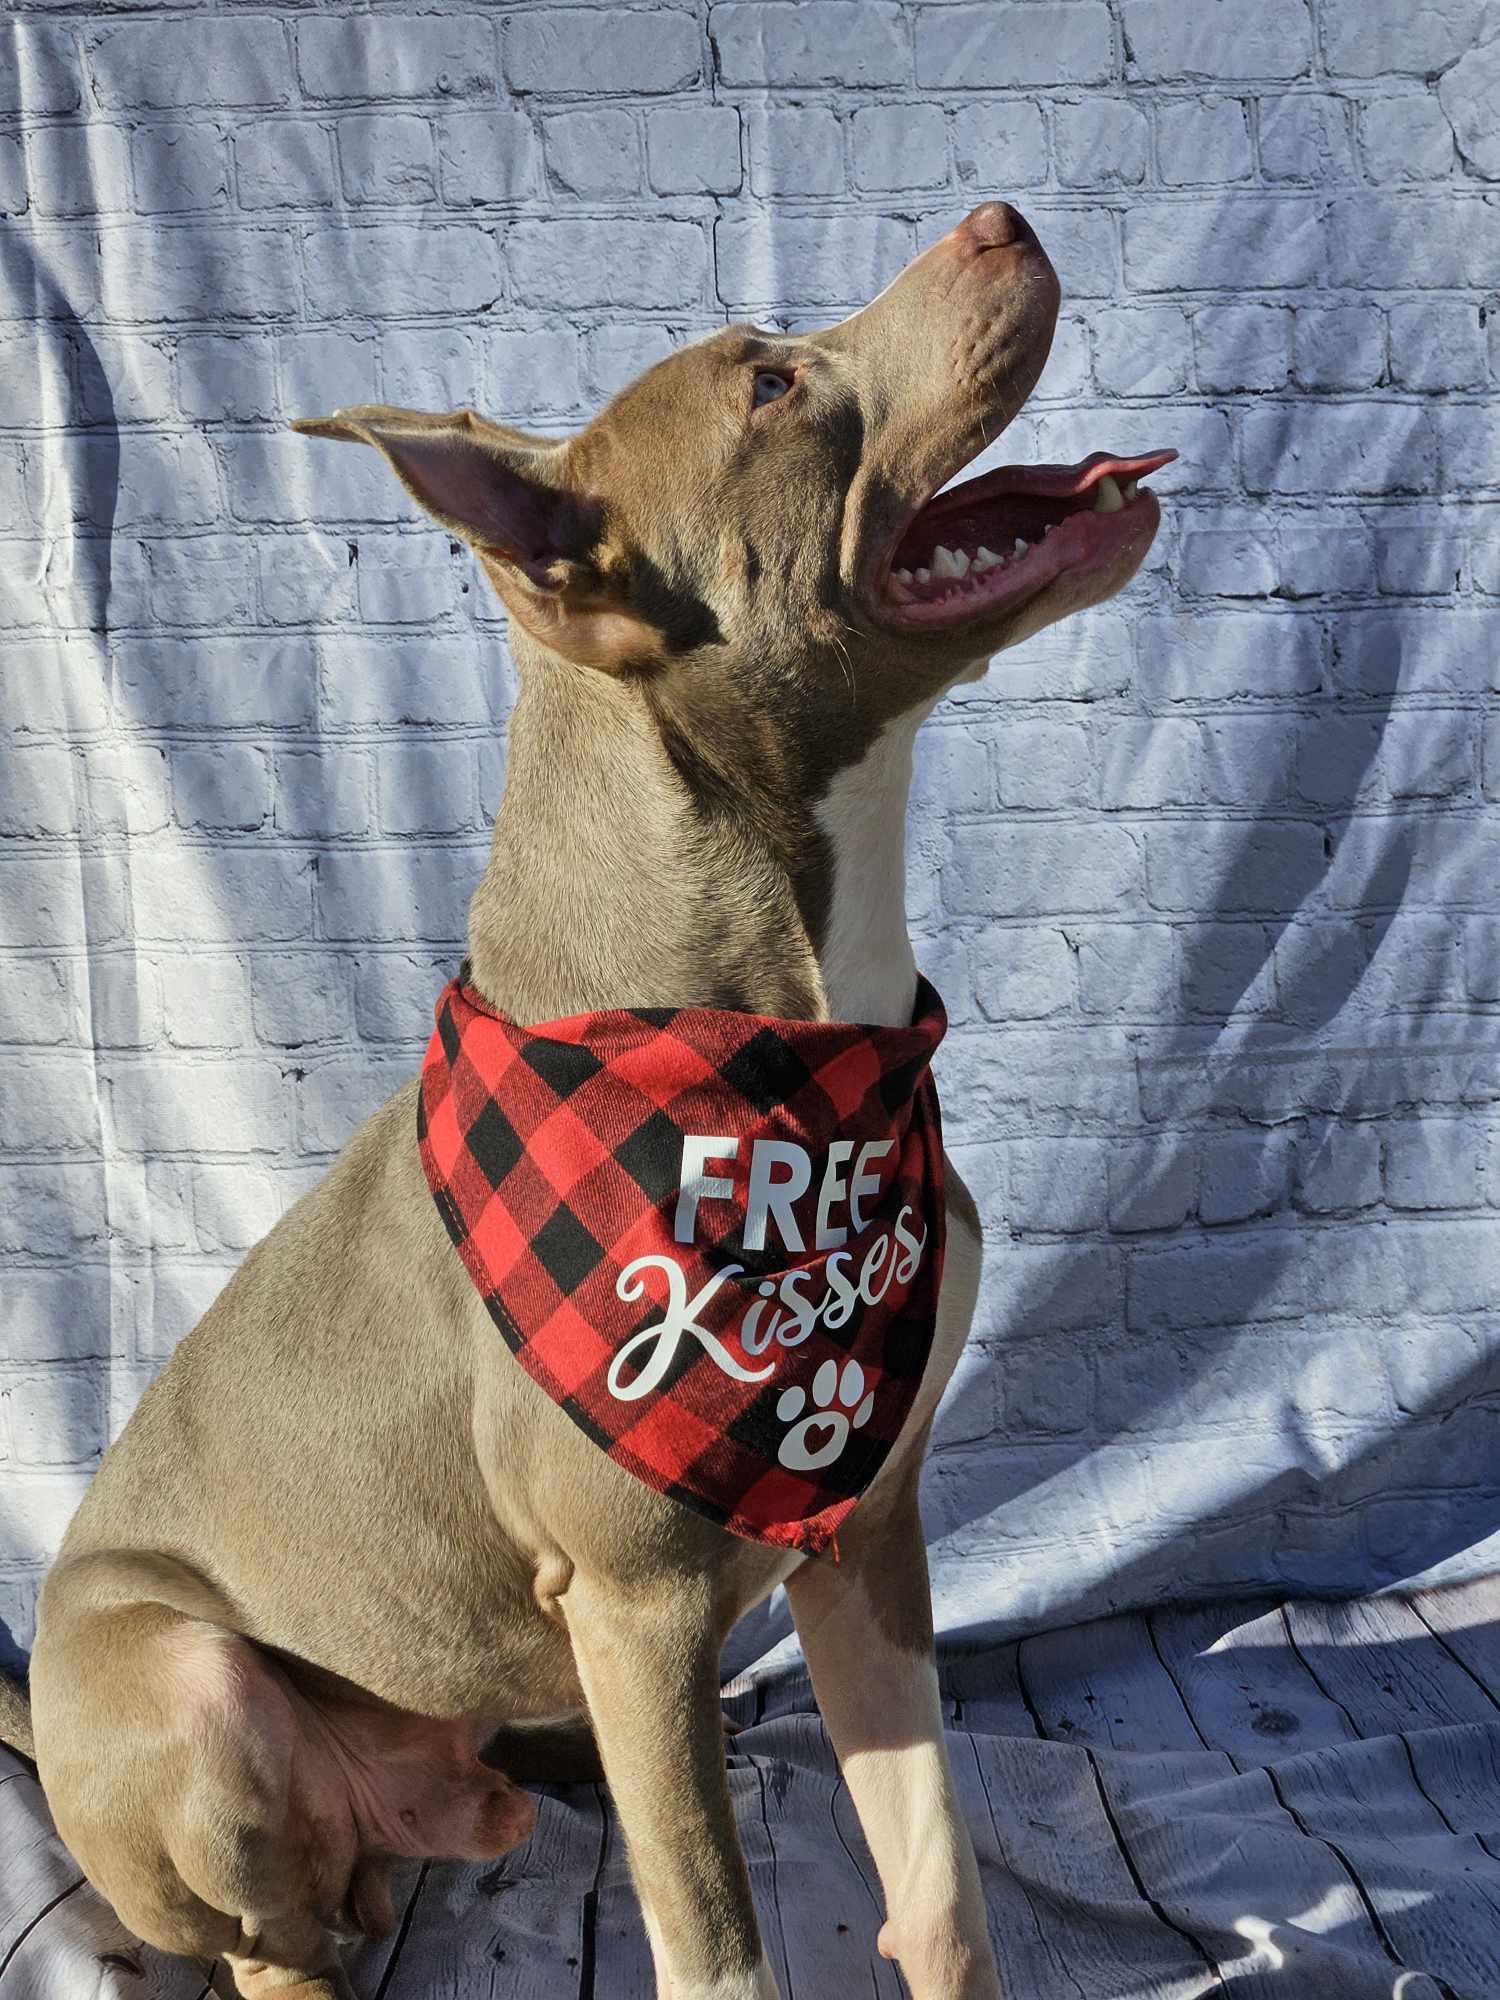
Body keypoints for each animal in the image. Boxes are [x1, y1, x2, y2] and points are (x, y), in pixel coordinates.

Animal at [0, 207, 1176, 2000]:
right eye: (769, 386)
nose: (1000, 220)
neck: (786, 1059)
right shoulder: (638, 1606)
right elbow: (717, 1947)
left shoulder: (871, 1531)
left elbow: (938, 1878)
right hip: (190, 1691)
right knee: (267, 1942)